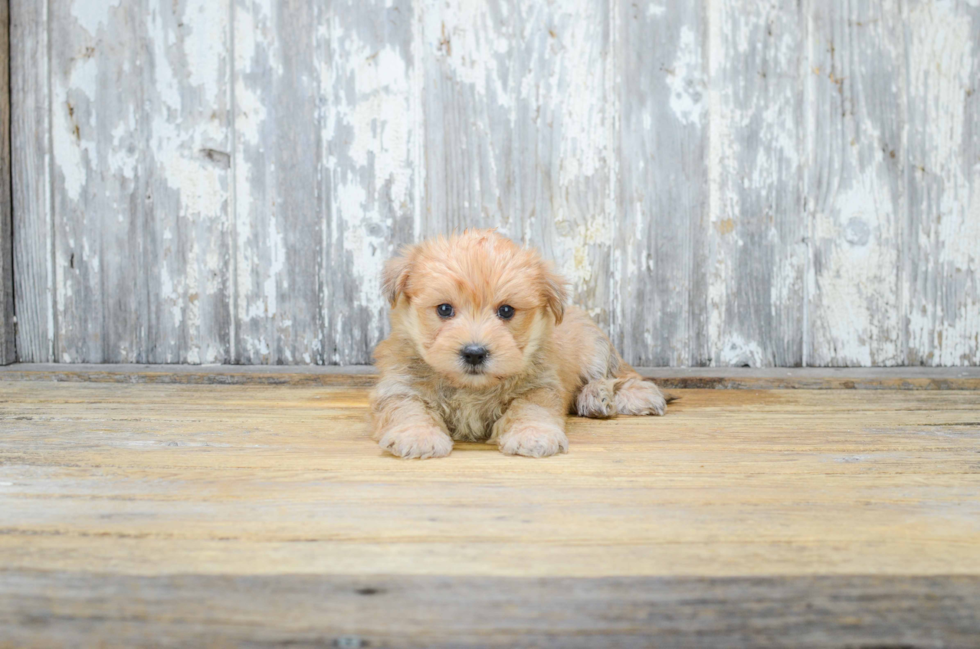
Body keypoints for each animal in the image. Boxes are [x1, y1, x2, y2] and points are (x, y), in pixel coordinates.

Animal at [368, 230, 668, 458]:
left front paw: (533, 435)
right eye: (444, 309)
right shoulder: (400, 385)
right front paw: (417, 436)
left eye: (506, 311)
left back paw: (617, 396)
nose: (474, 353)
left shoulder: (539, 386)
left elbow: (530, 408)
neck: (470, 387)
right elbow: (408, 409)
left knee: (620, 376)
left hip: (595, 347)